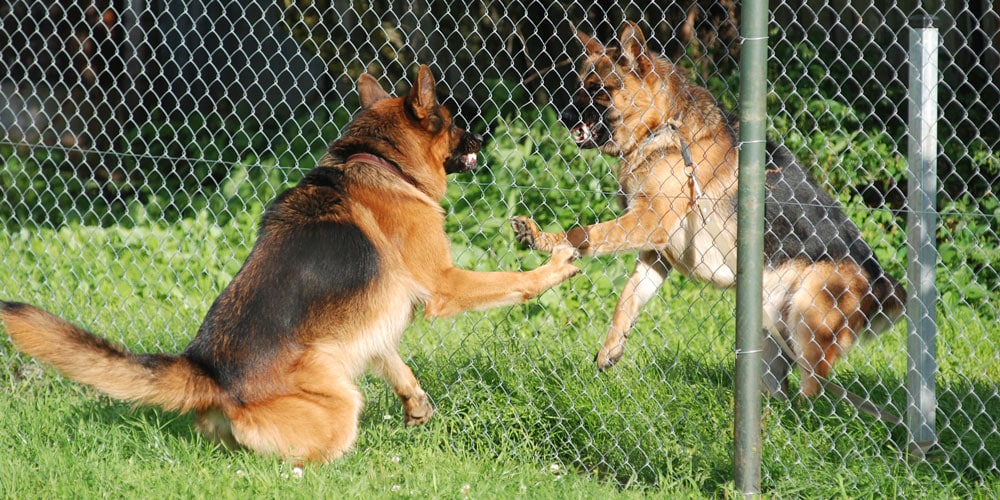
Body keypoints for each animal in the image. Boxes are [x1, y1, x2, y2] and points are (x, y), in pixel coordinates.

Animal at [1, 65, 580, 460]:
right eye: (452, 123)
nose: (484, 137)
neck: (378, 162)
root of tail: (209, 371)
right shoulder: (445, 283)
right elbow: (515, 282)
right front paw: (556, 265)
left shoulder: (371, 320)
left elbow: (392, 358)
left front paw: (415, 404)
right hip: (339, 401)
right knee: (301, 463)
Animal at [512, 22, 912, 398]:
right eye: (581, 84)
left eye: (599, 89)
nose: (563, 116)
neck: (662, 126)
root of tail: (882, 280)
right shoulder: (656, 251)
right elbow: (627, 298)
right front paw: (612, 346)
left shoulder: (648, 222)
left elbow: (585, 233)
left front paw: (546, 241)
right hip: (769, 327)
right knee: (781, 389)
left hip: (807, 323)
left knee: (815, 393)